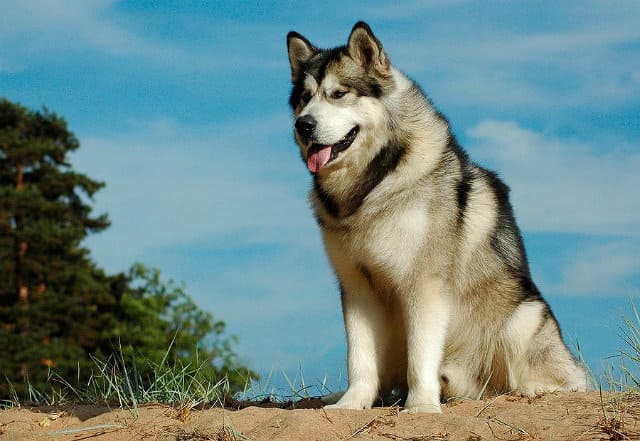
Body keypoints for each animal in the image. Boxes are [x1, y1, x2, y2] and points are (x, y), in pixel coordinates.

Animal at [288, 21, 588, 412]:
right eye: (304, 98)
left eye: (338, 94)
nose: (303, 125)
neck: (373, 184)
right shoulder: (356, 285)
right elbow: (359, 358)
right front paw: (352, 404)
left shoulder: (424, 283)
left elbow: (420, 357)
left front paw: (421, 407)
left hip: (523, 316)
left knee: (569, 379)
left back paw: (534, 389)